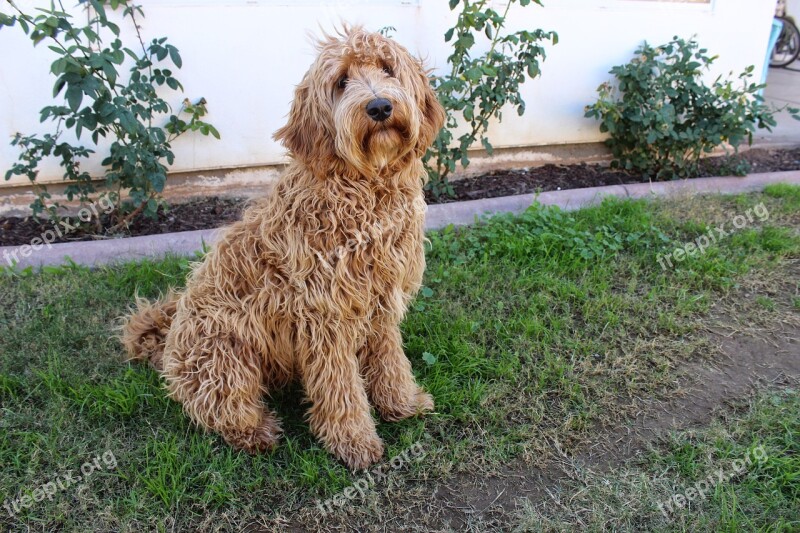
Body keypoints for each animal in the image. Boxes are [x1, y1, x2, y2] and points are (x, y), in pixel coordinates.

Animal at [121, 27, 444, 468]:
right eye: (341, 81)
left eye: (387, 68)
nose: (379, 106)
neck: (361, 190)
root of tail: (167, 342)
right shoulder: (325, 317)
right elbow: (340, 386)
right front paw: (354, 441)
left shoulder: (381, 302)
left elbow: (390, 358)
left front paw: (402, 403)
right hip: (225, 355)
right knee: (216, 406)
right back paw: (256, 431)